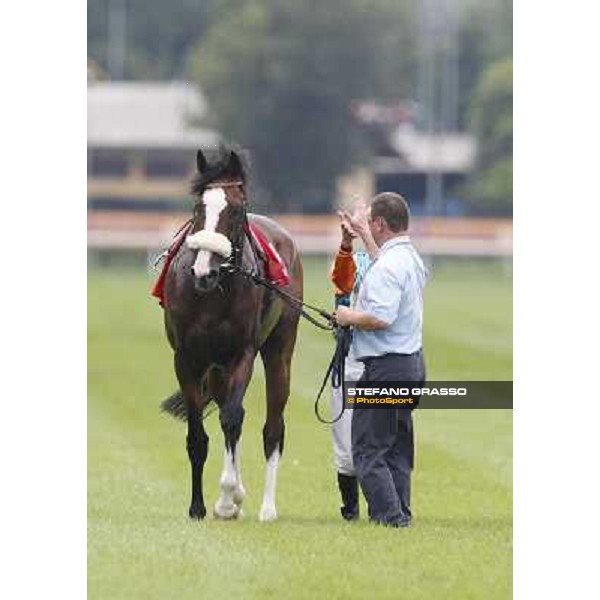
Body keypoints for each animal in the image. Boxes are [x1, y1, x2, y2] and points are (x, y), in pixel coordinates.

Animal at [163, 145, 300, 520]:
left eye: (237, 209)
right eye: (199, 207)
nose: (203, 271)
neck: (211, 294)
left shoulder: (243, 353)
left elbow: (233, 418)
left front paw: (226, 499)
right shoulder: (187, 358)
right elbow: (198, 435)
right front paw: (199, 506)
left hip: (279, 351)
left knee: (273, 428)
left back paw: (267, 508)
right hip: (216, 367)